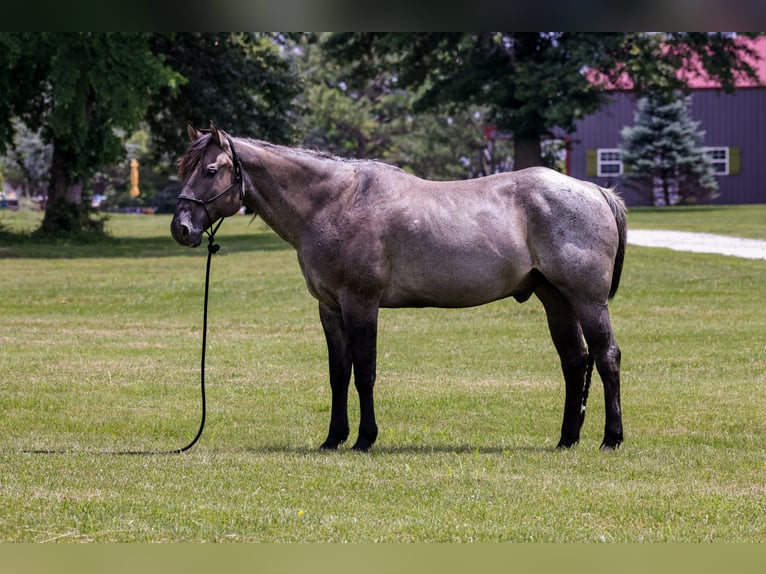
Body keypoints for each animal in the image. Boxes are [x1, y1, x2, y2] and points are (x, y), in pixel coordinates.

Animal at [171, 122, 627, 452]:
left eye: (210, 171)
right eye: (184, 170)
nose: (181, 228)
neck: (335, 202)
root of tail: (595, 190)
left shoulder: (361, 303)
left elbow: (364, 372)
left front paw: (364, 439)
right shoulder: (329, 308)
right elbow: (339, 373)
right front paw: (333, 438)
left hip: (587, 301)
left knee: (606, 357)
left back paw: (611, 438)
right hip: (556, 300)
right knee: (574, 362)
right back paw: (567, 439)